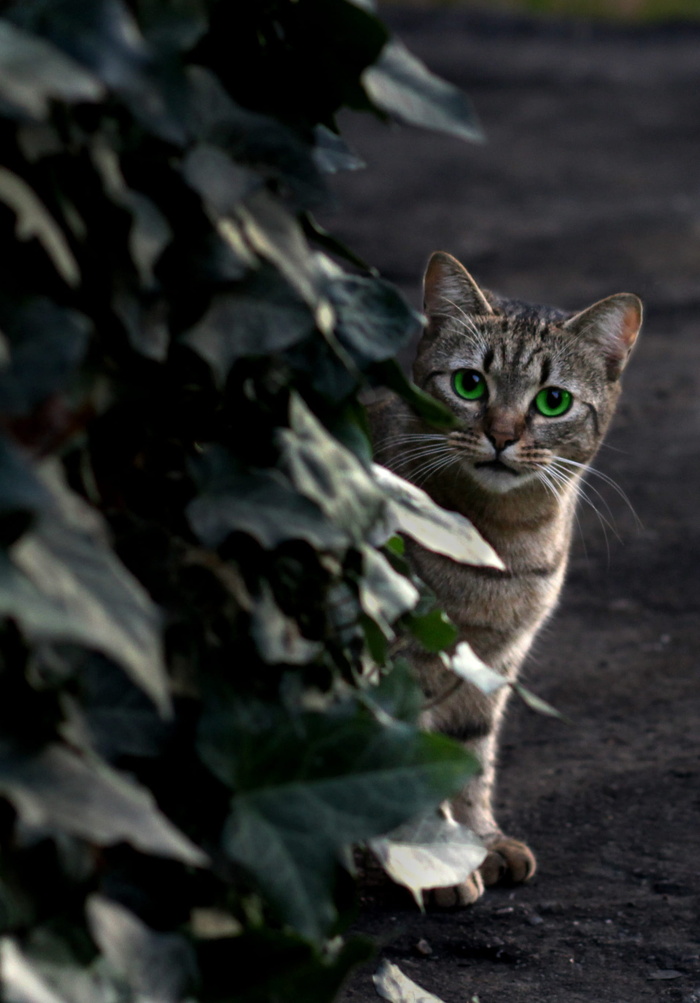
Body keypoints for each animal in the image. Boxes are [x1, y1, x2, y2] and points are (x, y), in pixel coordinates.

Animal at [369, 252, 641, 910]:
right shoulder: (401, 659)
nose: (502, 434)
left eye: (552, 401)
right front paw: (435, 862)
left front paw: (479, 842)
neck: (504, 544)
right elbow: (414, 764)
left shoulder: (492, 662)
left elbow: (471, 758)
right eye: (470, 384)